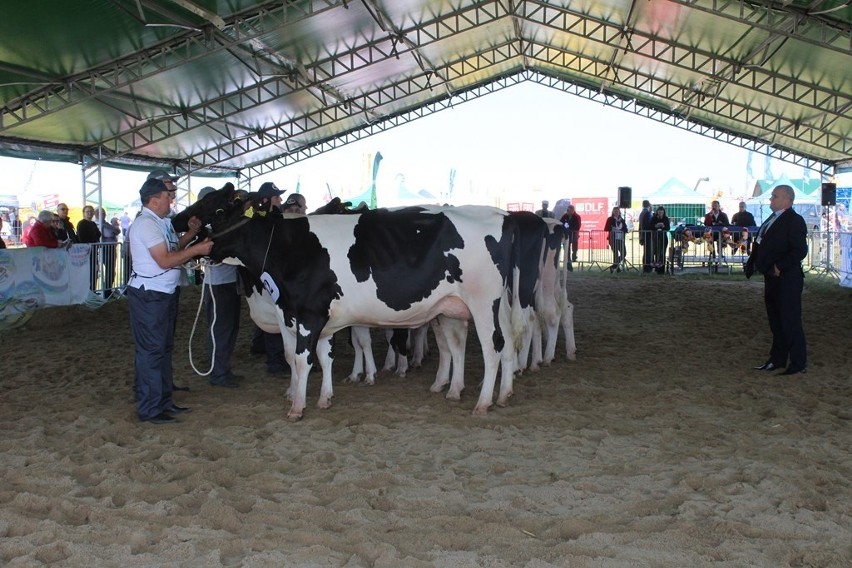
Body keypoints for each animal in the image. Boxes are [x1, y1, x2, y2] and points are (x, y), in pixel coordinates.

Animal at [173, 185, 520, 418]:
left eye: (218, 209)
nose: (181, 226)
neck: (286, 247)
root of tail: (497, 213)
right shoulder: (304, 315)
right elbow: (320, 357)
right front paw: (324, 397)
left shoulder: (308, 313)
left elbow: (301, 359)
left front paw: (297, 406)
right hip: (481, 305)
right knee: (497, 344)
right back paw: (493, 394)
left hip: (482, 302)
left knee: (492, 348)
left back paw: (483, 402)